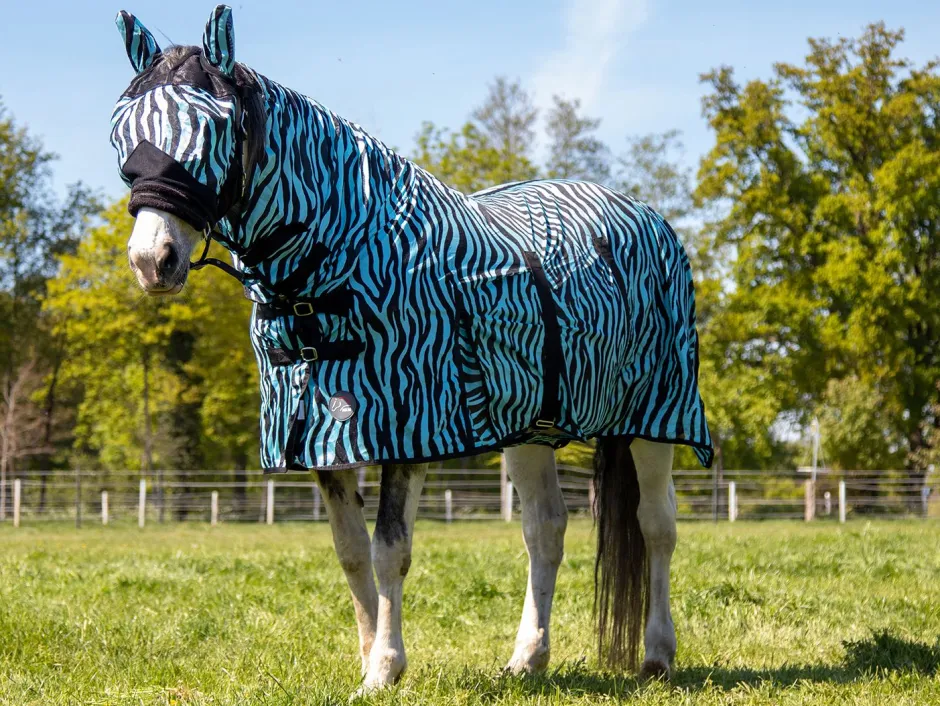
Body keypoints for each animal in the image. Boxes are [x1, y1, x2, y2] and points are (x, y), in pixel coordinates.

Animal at [111, 5, 713, 693]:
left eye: (215, 126)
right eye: (121, 132)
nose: (152, 261)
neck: (343, 264)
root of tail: (645, 215)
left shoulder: (408, 432)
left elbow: (389, 549)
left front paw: (384, 669)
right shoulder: (325, 437)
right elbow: (351, 554)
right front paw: (370, 658)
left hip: (657, 417)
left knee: (657, 526)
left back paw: (657, 654)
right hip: (531, 430)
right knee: (546, 531)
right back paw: (527, 660)